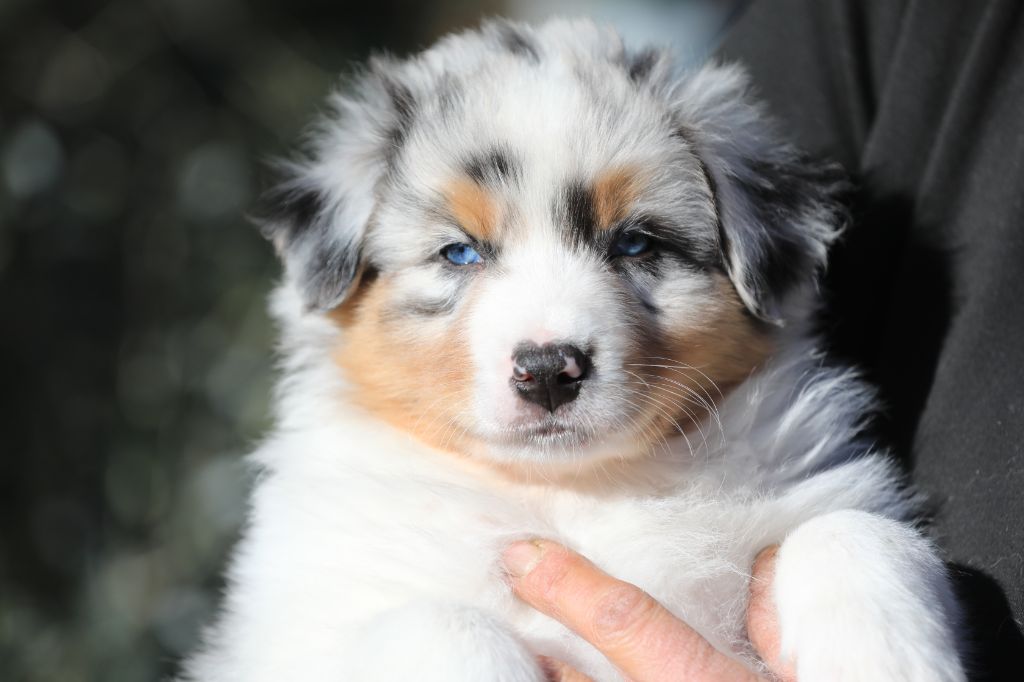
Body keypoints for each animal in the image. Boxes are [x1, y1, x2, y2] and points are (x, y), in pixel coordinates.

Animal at [181, 18, 965, 681]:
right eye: (460, 252)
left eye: (636, 243)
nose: (547, 371)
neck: (576, 489)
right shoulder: (307, 626)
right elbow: (441, 620)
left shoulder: (816, 499)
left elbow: (849, 530)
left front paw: (889, 657)